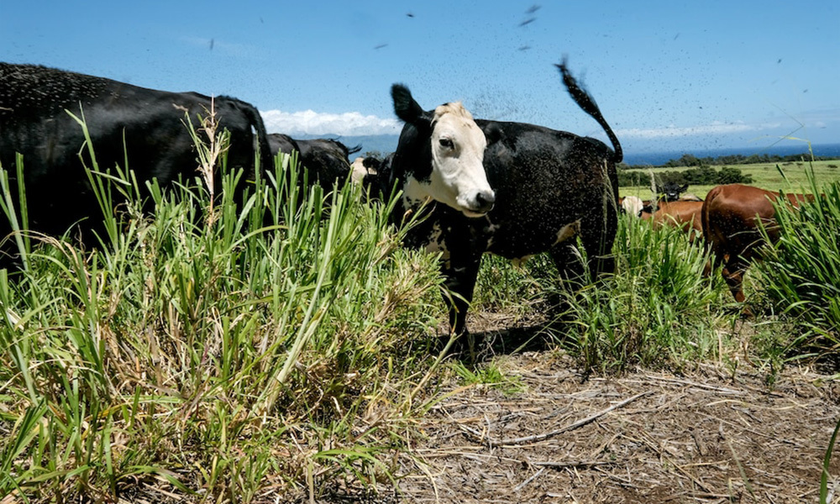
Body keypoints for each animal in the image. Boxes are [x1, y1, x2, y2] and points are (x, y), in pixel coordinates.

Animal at [390, 62, 620, 338]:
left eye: (482, 148)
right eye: (445, 141)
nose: (486, 197)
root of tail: (595, 145)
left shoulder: (468, 248)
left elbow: (459, 303)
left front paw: (459, 345)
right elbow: (450, 300)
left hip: (601, 228)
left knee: (602, 271)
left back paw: (602, 319)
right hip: (562, 236)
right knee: (573, 274)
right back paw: (572, 323)